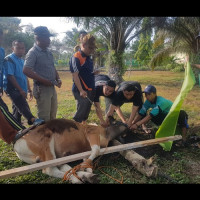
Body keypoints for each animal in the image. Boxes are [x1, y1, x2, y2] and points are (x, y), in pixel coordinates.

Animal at [0, 110, 128, 184]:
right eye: (119, 122)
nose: (128, 126)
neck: (107, 133)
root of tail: (17, 140)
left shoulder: (86, 149)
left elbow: (88, 158)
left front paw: (86, 168)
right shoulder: (91, 132)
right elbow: (96, 150)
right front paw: (85, 166)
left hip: (49, 156)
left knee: (63, 167)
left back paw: (86, 176)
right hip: (47, 146)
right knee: (49, 169)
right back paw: (78, 179)